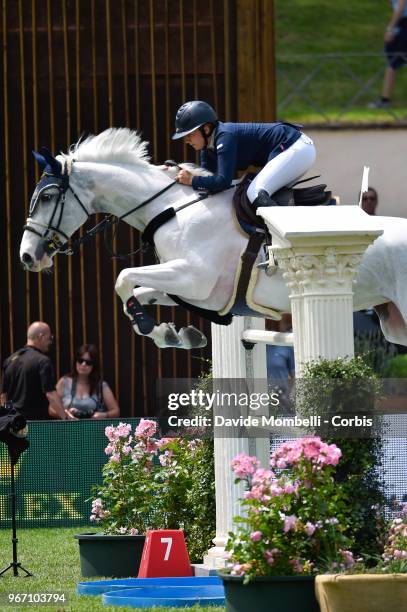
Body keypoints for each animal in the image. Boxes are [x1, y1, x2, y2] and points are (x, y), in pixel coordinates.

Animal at [19, 128, 407, 350]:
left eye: (49, 196)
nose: (27, 256)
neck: (169, 207)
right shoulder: (198, 289)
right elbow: (137, 292)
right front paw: (171, 334)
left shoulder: (193, 276)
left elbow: (123, 278)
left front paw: (152, 326)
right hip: (393, 323)